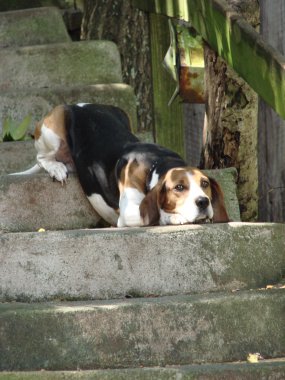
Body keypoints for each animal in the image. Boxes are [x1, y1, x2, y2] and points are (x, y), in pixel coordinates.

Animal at [11, 103, 229, 226]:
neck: (157, 162)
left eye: (205, 184)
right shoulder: (129, 213)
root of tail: (79, 104)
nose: (203, 202)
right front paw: (174, 217)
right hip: (53, 128)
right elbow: (158, 214)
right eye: (179, 187)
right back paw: (56, 167)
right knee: (41, 158)